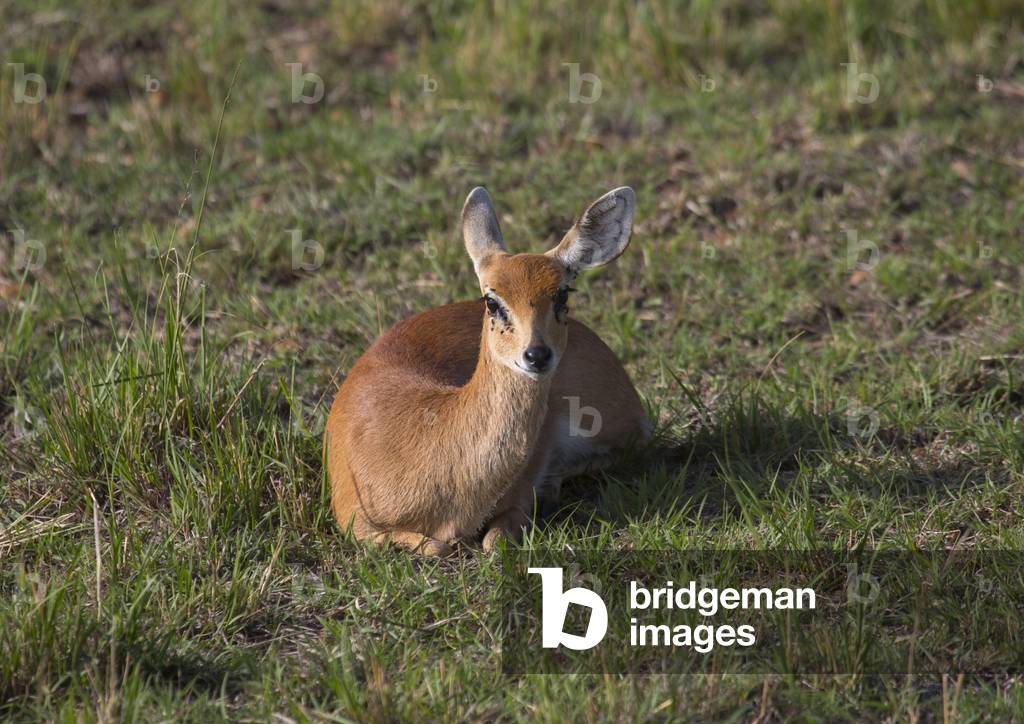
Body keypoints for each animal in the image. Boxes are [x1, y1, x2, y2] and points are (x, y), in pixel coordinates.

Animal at [324, 186, 649, 555]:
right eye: (491, 301)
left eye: (563, 294)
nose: (537, 355)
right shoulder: (353, 521)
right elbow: (437, 546)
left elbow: (493, 540)